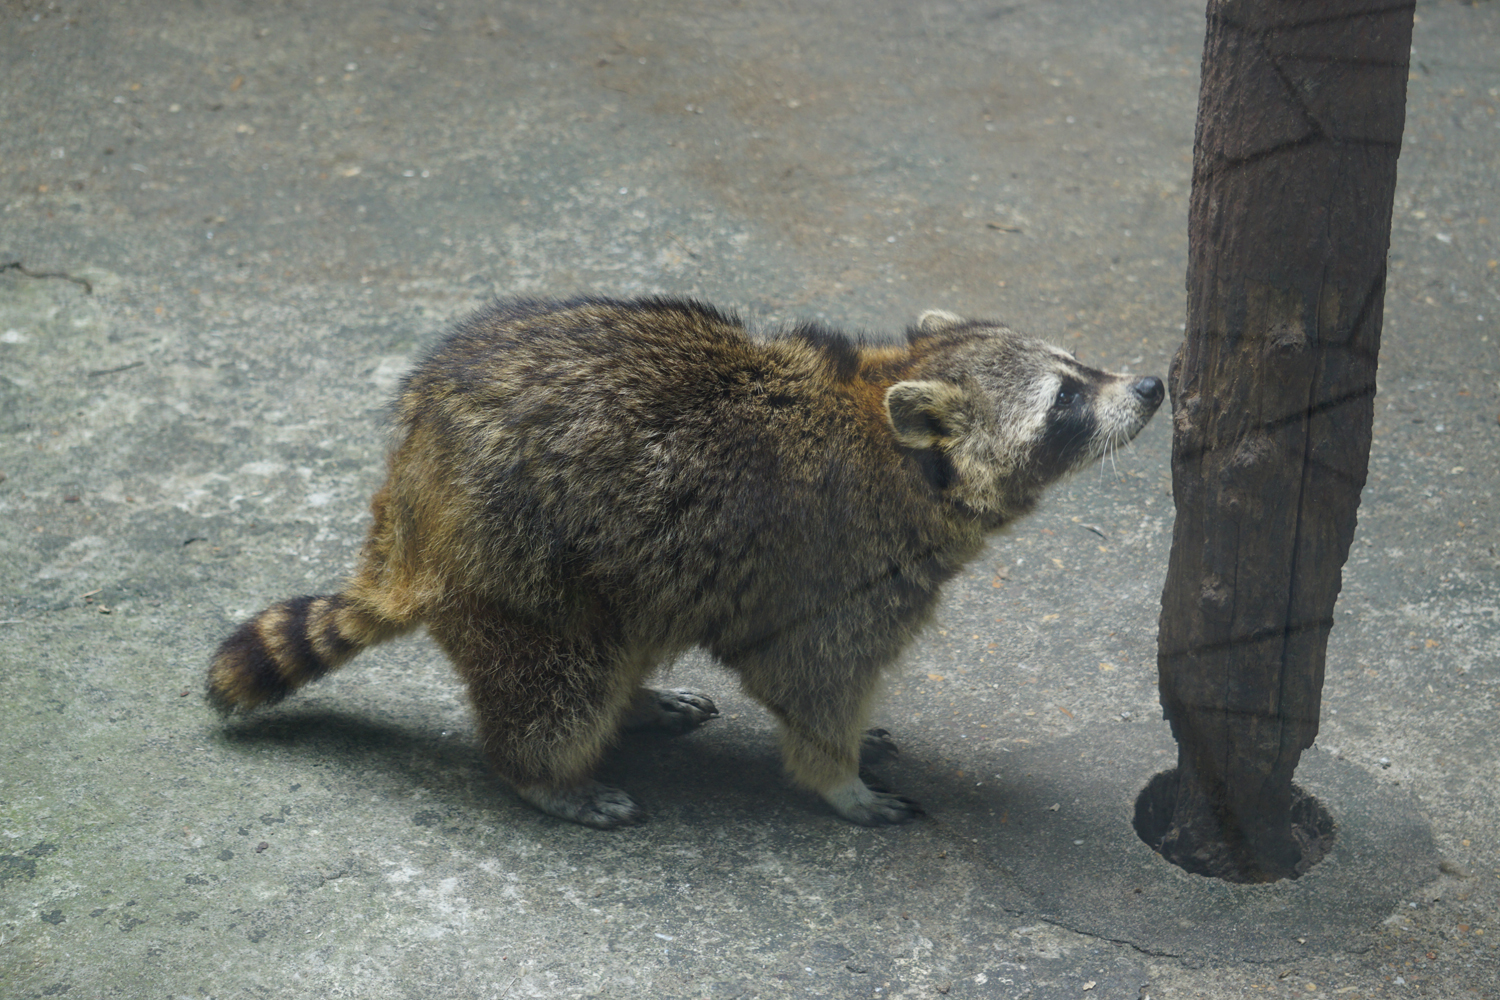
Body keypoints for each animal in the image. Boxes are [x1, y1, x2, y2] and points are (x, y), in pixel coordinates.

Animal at [208, 297, 1162, 828]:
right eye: (1067, 403)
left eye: (1079, 365)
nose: (1154, 386)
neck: (899, 444)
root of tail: (406, 503)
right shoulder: (845, 564)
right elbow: (809, 677)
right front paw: (837, 776)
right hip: (517, 567)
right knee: (561, 678)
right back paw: (542, 773)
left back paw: (632, 704)